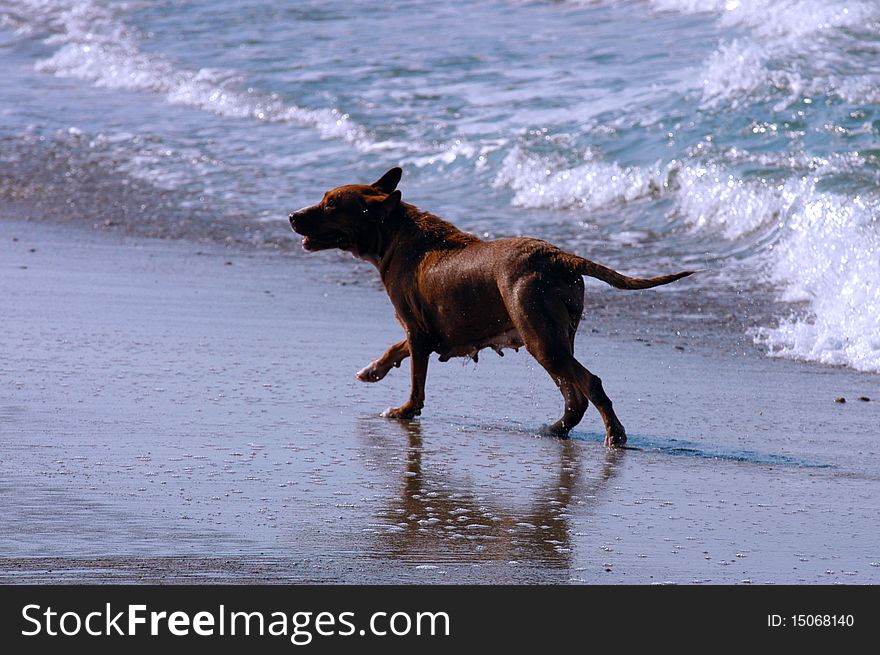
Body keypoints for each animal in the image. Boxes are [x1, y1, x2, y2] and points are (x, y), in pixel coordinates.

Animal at [290, 167, 696, 448]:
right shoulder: (425, 332)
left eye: (330, 205)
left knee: (588, 384)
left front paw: (404, 411)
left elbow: (417, 382)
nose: (293, 216)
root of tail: (558, 256)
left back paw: (614, 434)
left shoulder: (418, 332)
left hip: (541, 339)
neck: (394, 233)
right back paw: (557, 429)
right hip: (554, 337)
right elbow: (396, 348)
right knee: (573, 394)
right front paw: (373, 370)